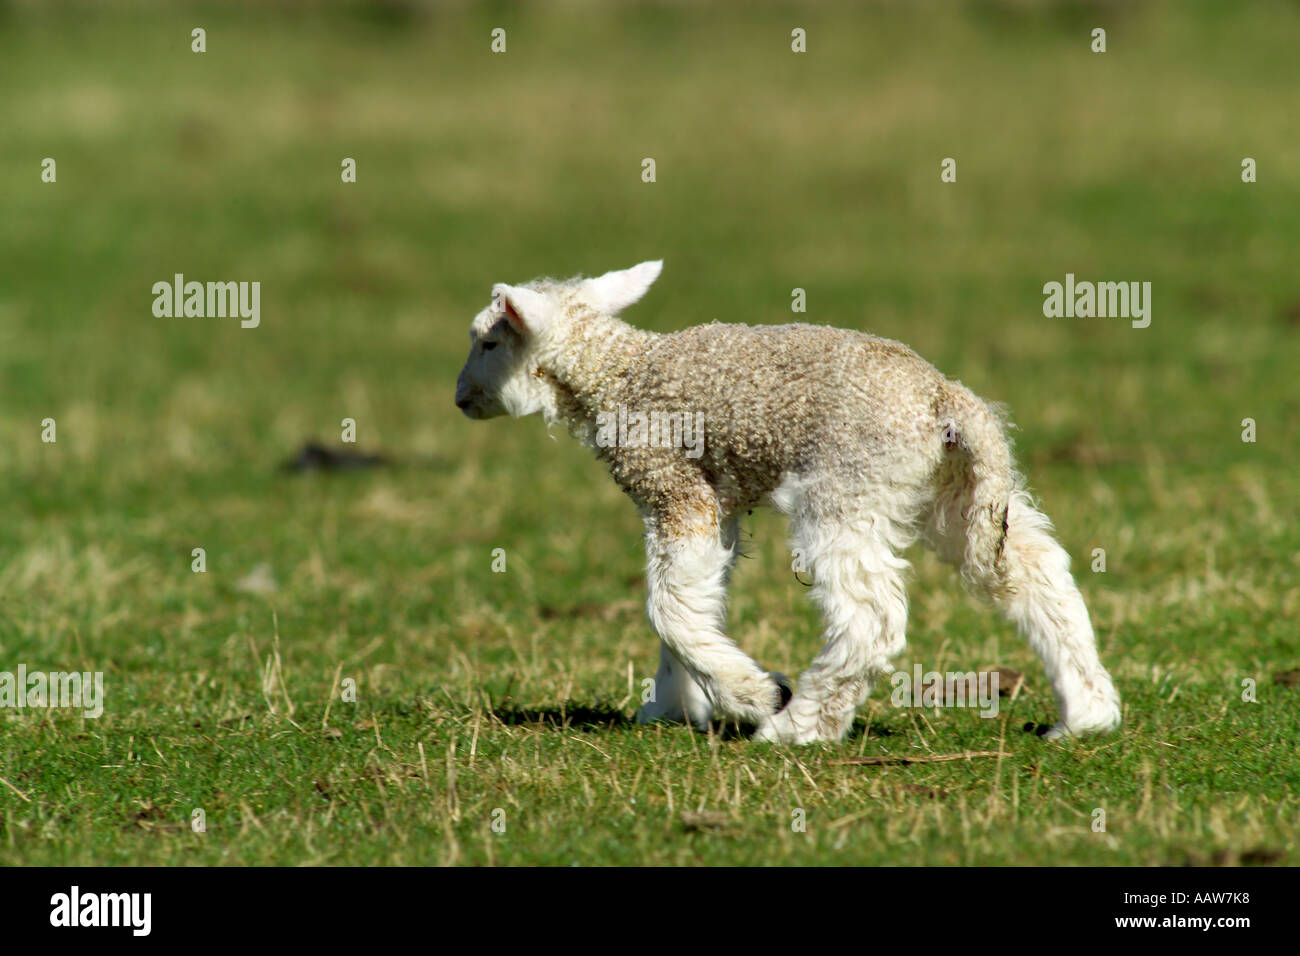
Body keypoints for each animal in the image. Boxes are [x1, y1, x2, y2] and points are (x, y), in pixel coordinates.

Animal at [455, 260, 1122, 743]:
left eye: (487, 343)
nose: (459, 398)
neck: (618, 374)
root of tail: (946, 399)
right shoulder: (716, 507)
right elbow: (693, 601)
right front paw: (675, 704)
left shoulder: (675, 489)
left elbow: (667, 608)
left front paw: (753, 693)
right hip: (951, 493)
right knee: (1035, 572)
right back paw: (1086, 715)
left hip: (845, 488)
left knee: (872, 617)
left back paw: (796, 726)